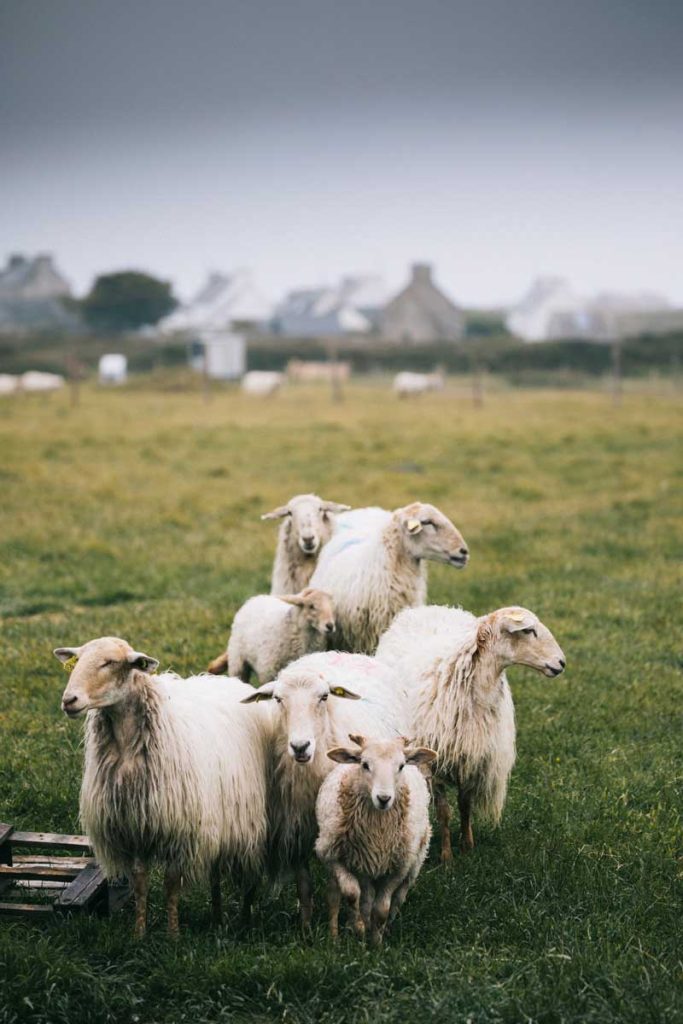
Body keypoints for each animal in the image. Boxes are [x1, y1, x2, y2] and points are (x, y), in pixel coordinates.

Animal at [56, 636, 271, 937]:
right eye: (79, 660)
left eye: (109, 662)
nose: (69, 700)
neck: (127, 748)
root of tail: (234, 683)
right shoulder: (134, 826)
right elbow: (139, 882)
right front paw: (139, 933)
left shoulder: (178, 831)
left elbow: (171, 883)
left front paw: (173, 935)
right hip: (219, 819)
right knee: (216, 873)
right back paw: (217, 919)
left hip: (247, 820)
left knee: (249, 874)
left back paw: (244, 921)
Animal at [207, 587, 336, 681]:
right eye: (311, 606)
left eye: (331, 606)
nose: (330, 626)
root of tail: (256, 597)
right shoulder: (267, 672)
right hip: (237, 662)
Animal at [241, 650, 408, 925]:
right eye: (277, 699)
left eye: (324, 697)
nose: (300, 746)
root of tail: (343, 653)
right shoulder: (296, 828)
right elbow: (304, 885)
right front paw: (306, 926)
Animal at [315, 735, 436, 945]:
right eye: (364, 764)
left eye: (401, 766)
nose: (384, 798)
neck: (378, 834)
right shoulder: (339, 857)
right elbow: (352, 894)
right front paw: (360, 928)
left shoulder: (398, 869)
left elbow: (382, 909)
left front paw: (376, 942)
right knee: (339, 896)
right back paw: (337, 935)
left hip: (414, 863)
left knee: (398, 898)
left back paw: (384, 928)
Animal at [375, 605, 566, 861]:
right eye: (528, 630)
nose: (561, 663)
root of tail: (427, 608)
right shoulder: (434, 762)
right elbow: (444, 812)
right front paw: (447, 856)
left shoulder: (472, 758)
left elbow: (465, 805)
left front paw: (468, 845)